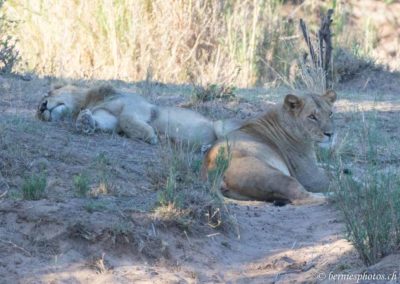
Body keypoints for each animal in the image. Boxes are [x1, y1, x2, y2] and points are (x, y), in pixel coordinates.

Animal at [36, 84, 238, 146]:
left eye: (48, 94)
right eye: (37, 113)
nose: (41, 108)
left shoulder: (137, 106)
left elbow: (127, 119)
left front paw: (150, 136)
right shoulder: (108, 117)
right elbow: (104, 122)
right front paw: (84, 122)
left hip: (221, 125)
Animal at [203, 90, 338, 204]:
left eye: (330, 114)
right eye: (312, 117)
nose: (331, 134)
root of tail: (211, 173)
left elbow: (330, 167)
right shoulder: (310, 177)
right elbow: (334, 177)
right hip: (273, 175)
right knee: (300, 197)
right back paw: (334, 196)